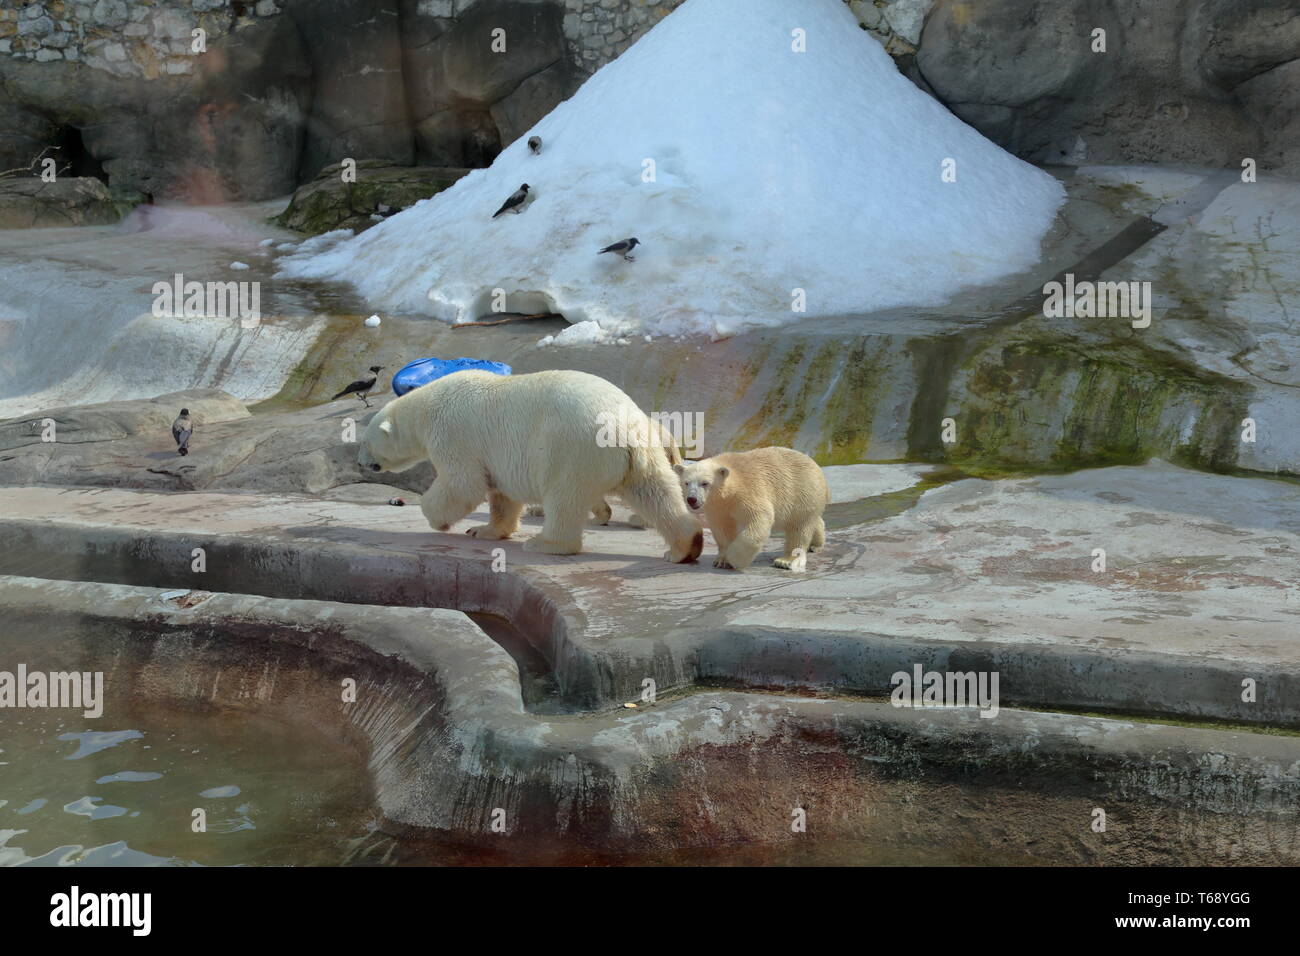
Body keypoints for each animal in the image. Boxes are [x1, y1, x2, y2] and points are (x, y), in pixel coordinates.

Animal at [358, 364, 702, 561]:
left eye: (365, 442)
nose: (362, 462)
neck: (425, 407)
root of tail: (623, 425)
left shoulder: (454, 434)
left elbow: (463, 484)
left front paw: (436, 518)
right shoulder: (497, 457)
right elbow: (501, 495)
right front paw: (483, 530)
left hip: (572, 448)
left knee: (564, 498)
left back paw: (545, 543)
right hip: (641, 452)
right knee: (656, 491)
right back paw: (686, 546)